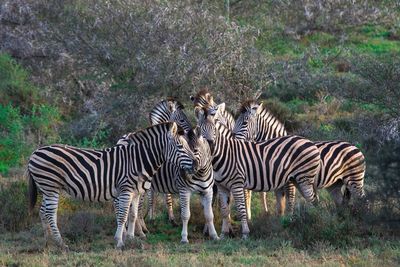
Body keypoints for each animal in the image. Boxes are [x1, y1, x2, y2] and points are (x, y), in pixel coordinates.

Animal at [27, 122, 196, 250]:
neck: (138, 160)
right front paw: (119, 241)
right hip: (51, 187)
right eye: (180, 146)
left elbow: (133, 215)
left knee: (43, 212)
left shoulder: (136, 192)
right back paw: (61, 243)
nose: (196, 164)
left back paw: (48, 242)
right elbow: (122, 216)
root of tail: (34, 152)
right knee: (50, 214)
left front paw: (131, 239)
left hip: (47, 189)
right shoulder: (126, 190)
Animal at [195, 104, 320, 239]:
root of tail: (310, 142)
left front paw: (245, 233)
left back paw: (314, 221)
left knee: (311, 200)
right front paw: (223, 234)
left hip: (304, 179)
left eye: (214, 128)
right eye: (199, 129)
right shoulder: (222, 186)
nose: (210, 145)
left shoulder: (237, 184)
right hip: (297, 180)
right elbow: (224, 210)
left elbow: (241, 209)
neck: (224, 153)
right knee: (313, 199)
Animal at [233, 100, 368, 216]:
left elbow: (290, 203)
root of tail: (354, 146)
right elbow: (280, 207)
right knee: (341, 203)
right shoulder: (279, 184)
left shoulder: (289, 182)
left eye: (244, 122)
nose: (233, 138)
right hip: (335, 183)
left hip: (355, 179)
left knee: (363, 200)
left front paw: (290, 220)